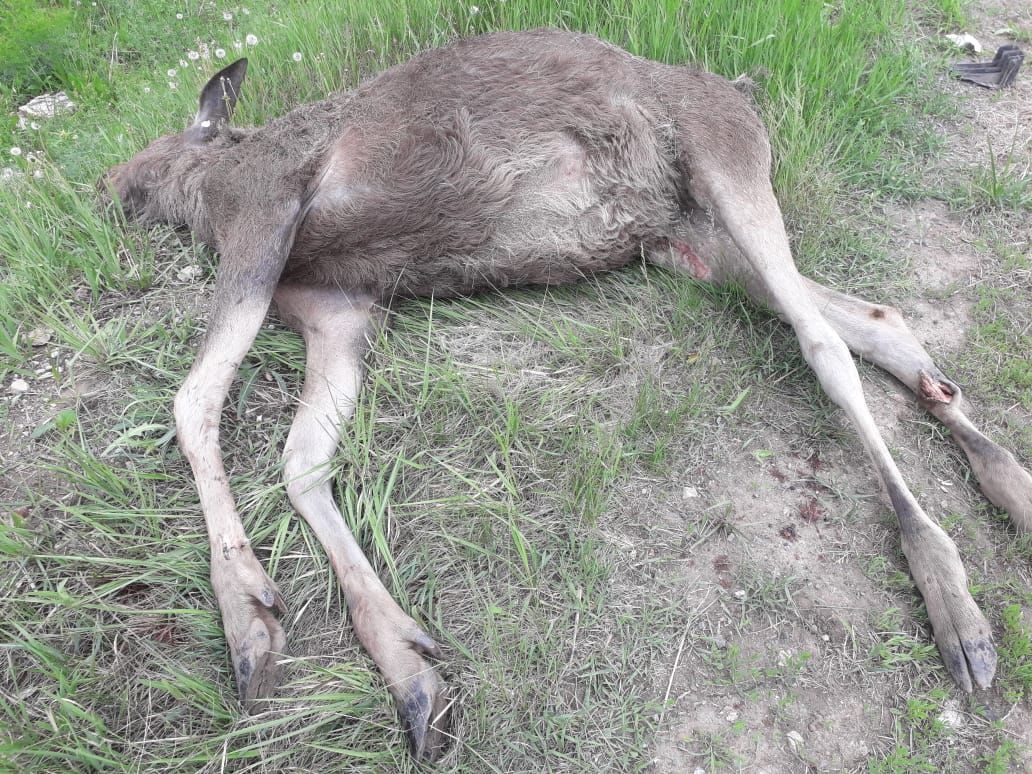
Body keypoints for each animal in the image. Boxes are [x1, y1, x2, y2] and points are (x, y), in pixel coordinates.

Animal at [104, 27, 1032, 759]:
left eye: (155, 150)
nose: (111, 187)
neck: (205, 196)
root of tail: (738, 90)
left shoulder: (261, 211)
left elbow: (193, 402)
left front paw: (246, 618)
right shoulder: (338, 307)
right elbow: (302, 459)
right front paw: (405, 665)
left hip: (724, 161)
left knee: (825, 345)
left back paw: (953, 595)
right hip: (688, 244)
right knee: (873, 316)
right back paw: (1006, 477)